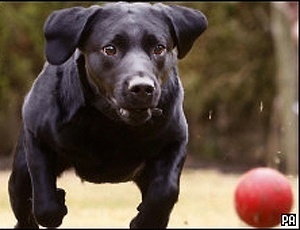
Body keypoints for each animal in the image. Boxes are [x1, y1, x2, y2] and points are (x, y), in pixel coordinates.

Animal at [8, 2, 206, 228]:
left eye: (159, 48)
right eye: (109, 49)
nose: (142, 88)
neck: (112, 125)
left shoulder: (175, 141)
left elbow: (166, 191)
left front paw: (145, 220)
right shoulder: (36, 135)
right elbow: (44, 201)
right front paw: (56, 206)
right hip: (20, 175)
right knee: (24, 209)